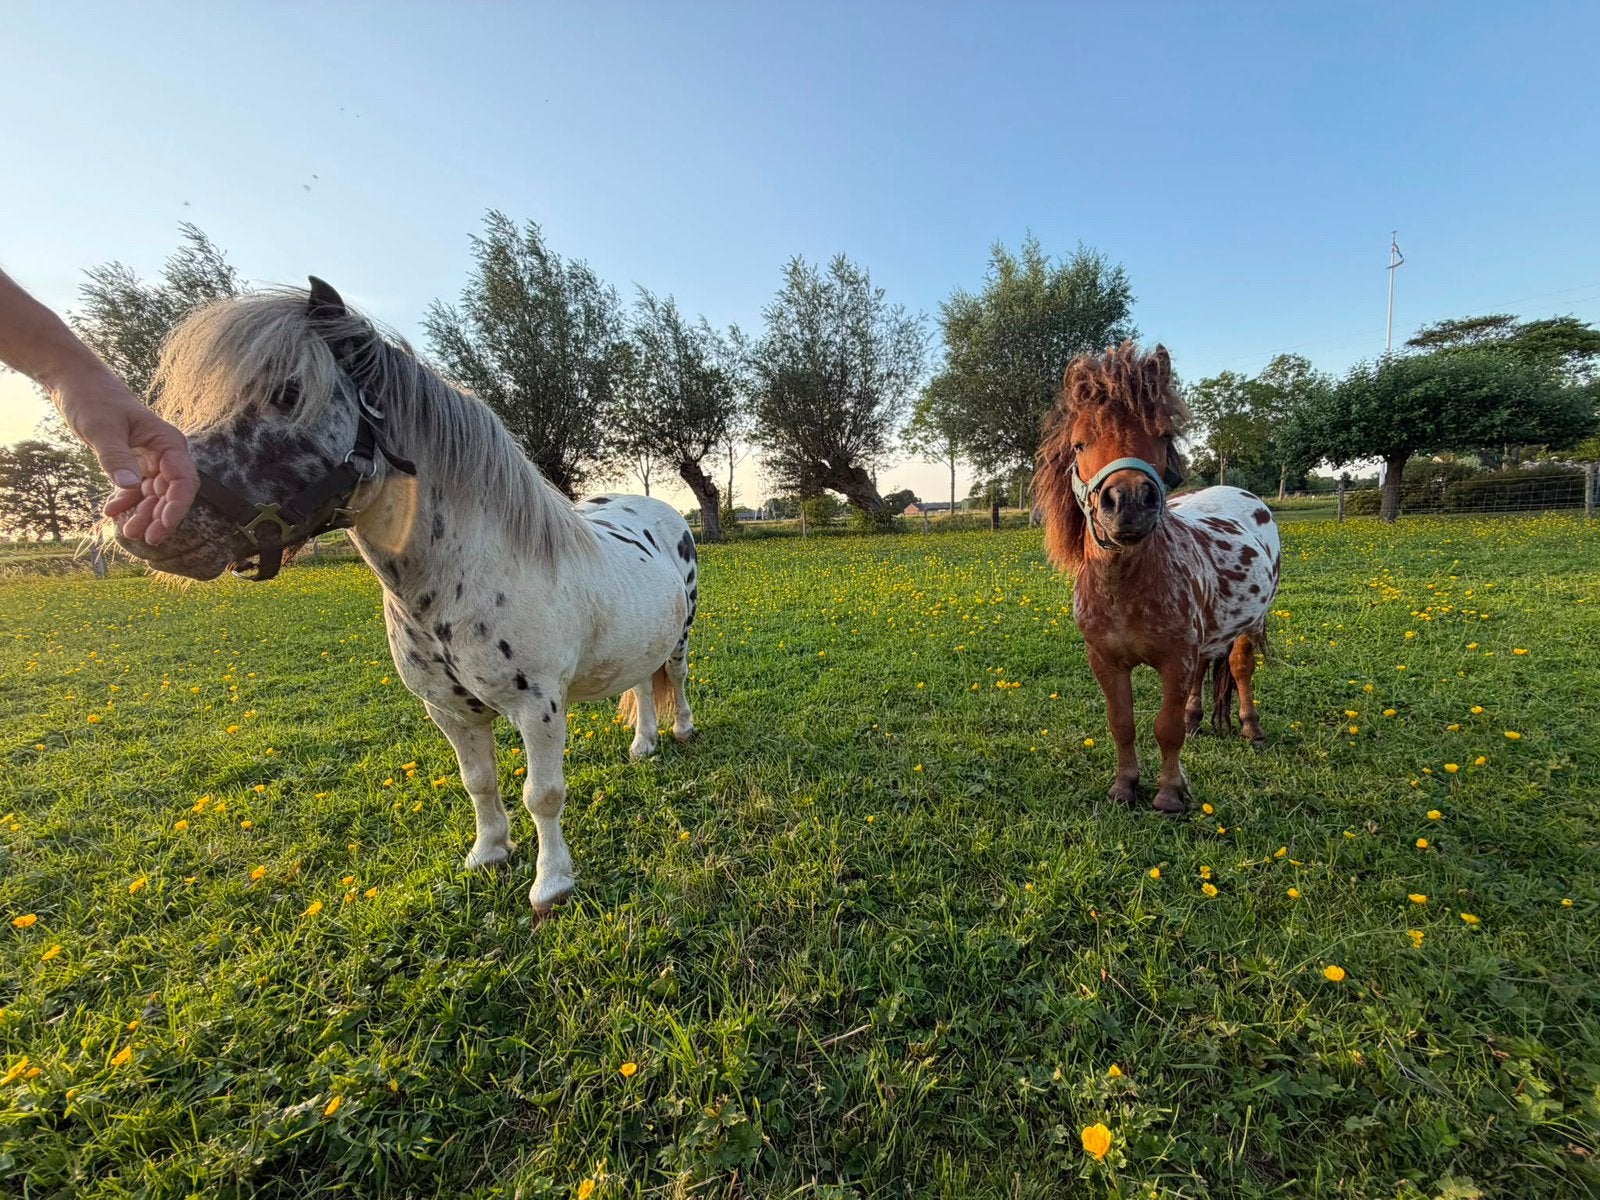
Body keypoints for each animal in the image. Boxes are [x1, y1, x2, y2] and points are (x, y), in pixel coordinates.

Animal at [110, 278, 699, 913]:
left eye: (288, 392)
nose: (144, 520)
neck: (459, 583)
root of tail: (660, 509)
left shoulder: (538, 705)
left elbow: (542, 793)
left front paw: (552, 884)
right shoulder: (448, 710)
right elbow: (479, 782)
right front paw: (489, 853)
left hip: (681, 637)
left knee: (673, 677)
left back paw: (680, 732)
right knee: (640, 682)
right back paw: (643, 745)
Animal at [1034, 342, 1281, 814]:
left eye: (1164, 435)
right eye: (1079, 443)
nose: (1129, 501)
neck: (1125, 591)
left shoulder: (1174, 659)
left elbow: (1166, 728)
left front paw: (1169, 794)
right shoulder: (1105, 661)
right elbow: (1122, 723)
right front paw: (1124, 787)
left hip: (1251, 623)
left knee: (1240, 668)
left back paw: (1251, 728)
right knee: (1206, 668)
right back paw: (1198, 719)